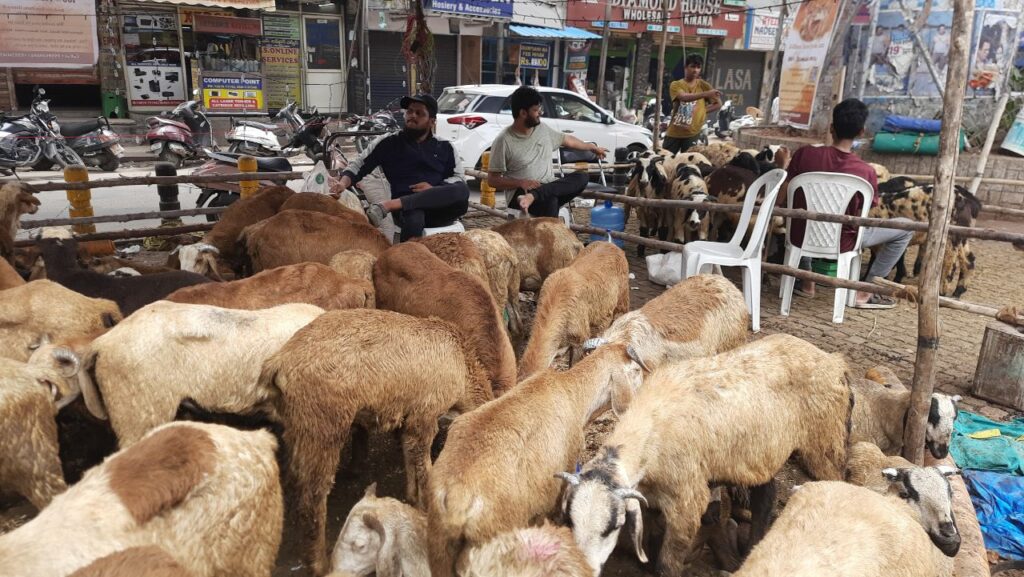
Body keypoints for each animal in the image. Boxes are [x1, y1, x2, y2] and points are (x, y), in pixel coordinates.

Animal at [561, 334, 847, 577]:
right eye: (571, 522)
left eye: (614, 526)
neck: (652, 427)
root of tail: (834, 360)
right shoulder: (651, 501)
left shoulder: (686, 506)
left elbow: (666, 565)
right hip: (760, 451)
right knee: (765, 498)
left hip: (826, 444)